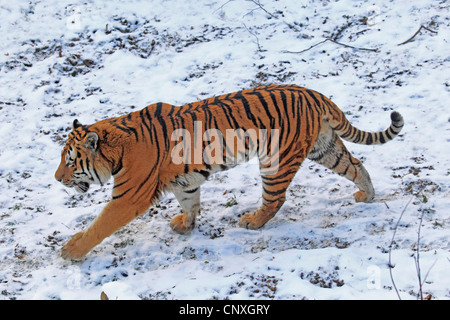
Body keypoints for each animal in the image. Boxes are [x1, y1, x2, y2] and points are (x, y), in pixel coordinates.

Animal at [54, 84, 402, 258]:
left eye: (70, 161)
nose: (57, 179)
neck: (116, 144)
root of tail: (312, 92)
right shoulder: (183, 181)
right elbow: (190, 203)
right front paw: (185, 226)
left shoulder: (129, 196)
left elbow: (100, 224)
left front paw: (72, 250)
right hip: (324, 147)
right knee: (356, 165)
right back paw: (367, 195)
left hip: (275, 160)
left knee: (276, 198)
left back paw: (252, 221)